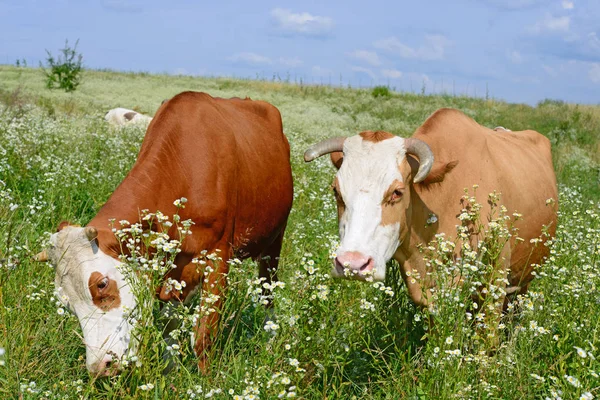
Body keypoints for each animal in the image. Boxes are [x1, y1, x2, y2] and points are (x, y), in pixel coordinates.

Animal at [36, 92, 294, 376]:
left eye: (102, 284)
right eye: (66, 304)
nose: (100, 366)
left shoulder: (218, 257)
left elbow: (203, 336)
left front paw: (205, 380)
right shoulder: (170, 268)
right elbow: (170, 327)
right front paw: (171, 373)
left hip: (275, 239)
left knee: (268, 292)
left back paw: (270, 339)